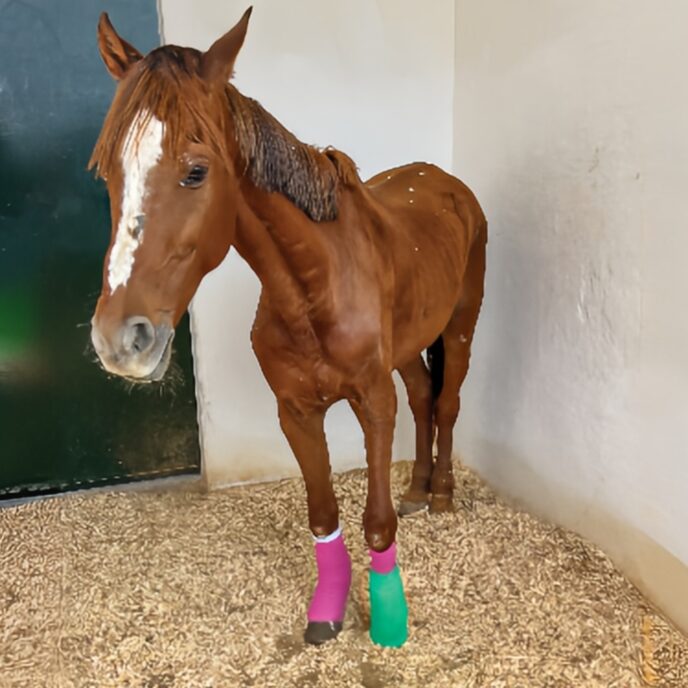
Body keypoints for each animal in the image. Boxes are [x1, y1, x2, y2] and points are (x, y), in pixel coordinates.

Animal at [88, 8, 486, 648]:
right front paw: (327, 611)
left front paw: (389, 622)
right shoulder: (295, 411)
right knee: (425, 397)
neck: (311, 288)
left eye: (195, 171)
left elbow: (377, 523)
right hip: (408, 345)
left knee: (446, 403)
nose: (120, 341)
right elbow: (323, 515)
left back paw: (443, 494)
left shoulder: (372, 403)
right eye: (107, 172)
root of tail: (448, 182)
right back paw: (419, 488)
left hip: (461, 325)